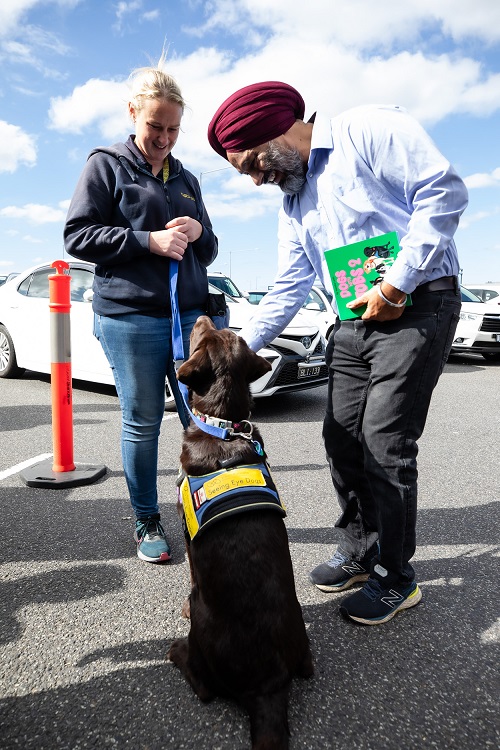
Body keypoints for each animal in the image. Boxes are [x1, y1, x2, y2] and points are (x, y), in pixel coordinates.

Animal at [170, 318, 314, 750]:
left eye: (201, 337)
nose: (203, 316)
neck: (224, 427)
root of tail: (269, 689)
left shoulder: (187, 533)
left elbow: (190, 573)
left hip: (203, 625)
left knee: (203, 687)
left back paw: (177, 651)